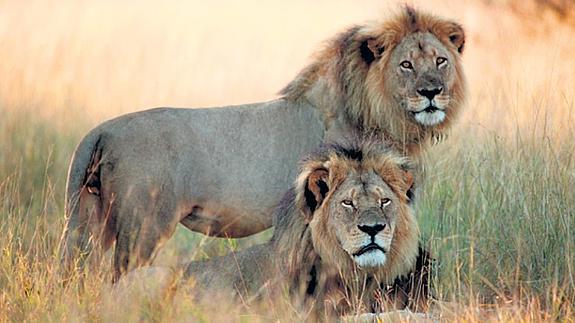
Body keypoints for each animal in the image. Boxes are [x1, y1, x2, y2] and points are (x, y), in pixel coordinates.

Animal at [60, 6, 466, 282]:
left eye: (441, 61)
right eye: (406, 65)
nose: (432, 92)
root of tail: (101, 131)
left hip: (89, 217)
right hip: (143, 226)